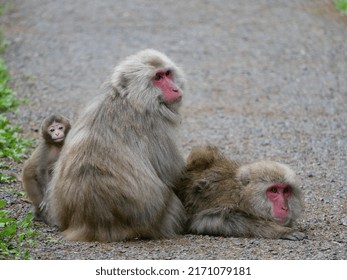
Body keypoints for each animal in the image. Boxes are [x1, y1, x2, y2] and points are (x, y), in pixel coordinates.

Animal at [178, 147, 306, 241]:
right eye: (274, 190)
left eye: (286, 191)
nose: (284, 207)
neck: (240, 194)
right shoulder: (220, 199)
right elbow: (210, 220)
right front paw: (282, 231)